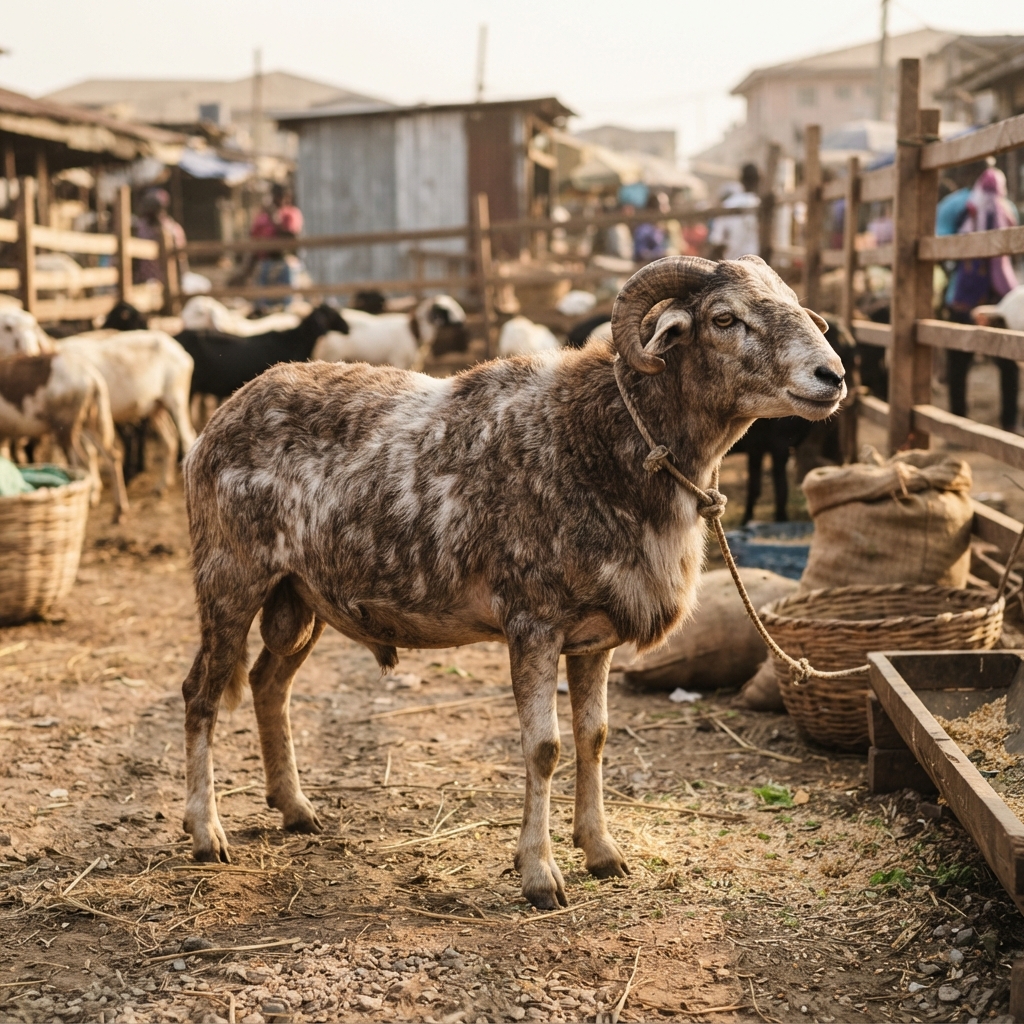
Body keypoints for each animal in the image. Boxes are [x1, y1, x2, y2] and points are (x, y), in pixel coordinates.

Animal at [0, 352, 128, 520]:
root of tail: (92, 376)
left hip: (65, 427)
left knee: (81, 464)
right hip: (90, 422)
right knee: (113, 457)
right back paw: (119, 511)